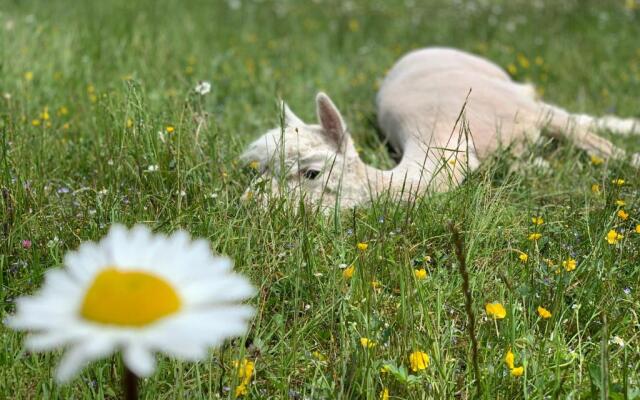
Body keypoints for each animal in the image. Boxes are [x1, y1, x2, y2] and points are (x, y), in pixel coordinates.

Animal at [240, 47, 640, 209]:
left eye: (311, 173)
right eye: (262, 169)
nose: (249, 204)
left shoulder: (527, 113)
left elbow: (598, 143)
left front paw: (630, 161)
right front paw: (537, 165)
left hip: (513, 91)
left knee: (579, 119)